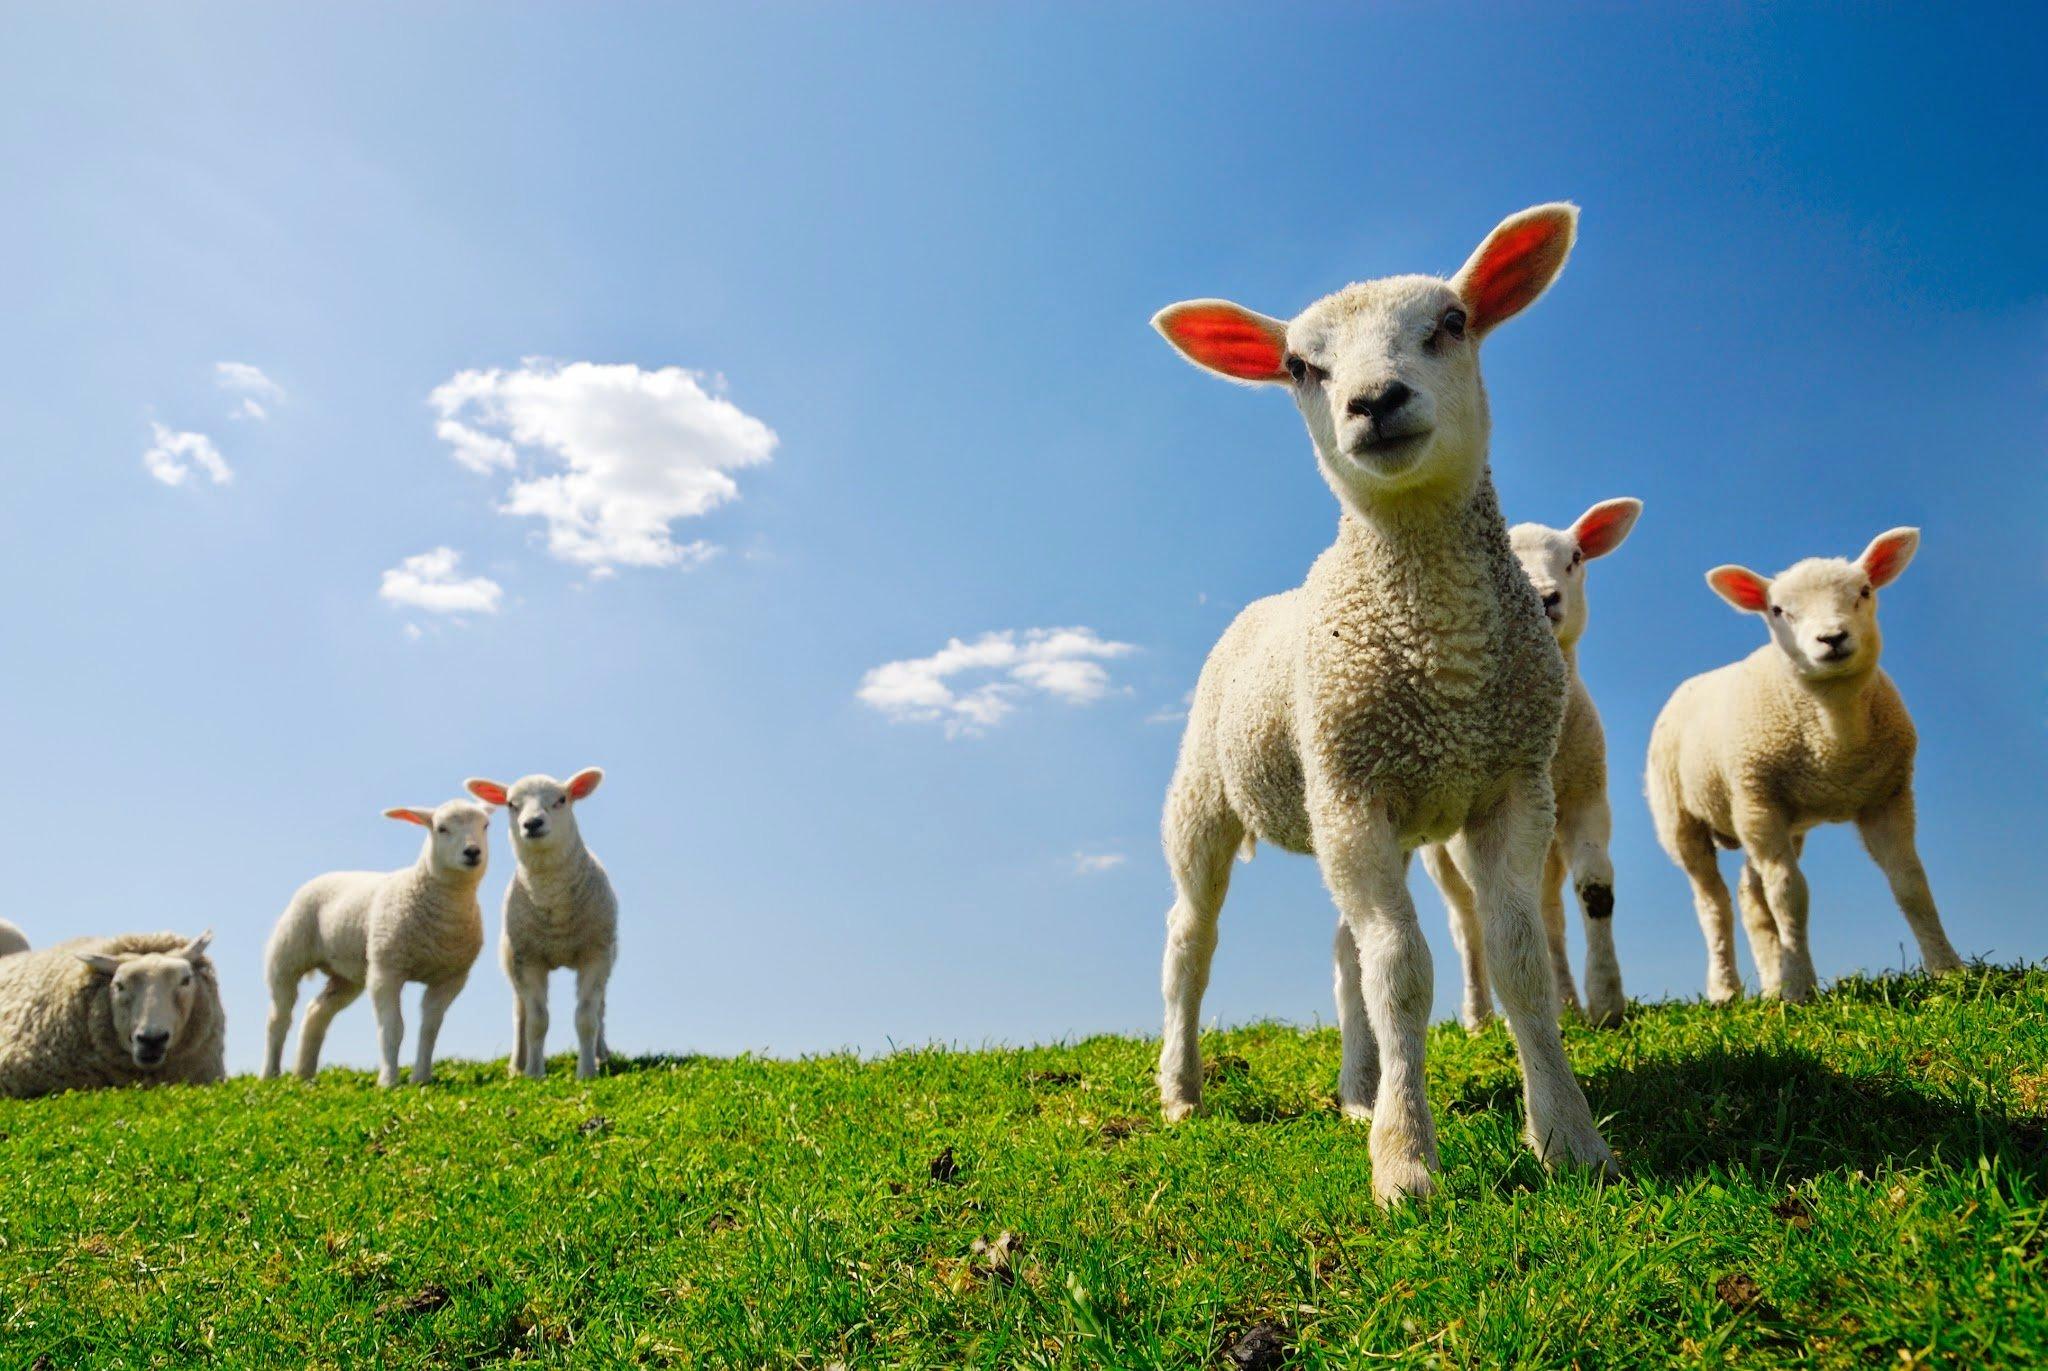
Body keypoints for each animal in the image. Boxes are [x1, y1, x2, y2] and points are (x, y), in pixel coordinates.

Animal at [263, 799, 491, 1087]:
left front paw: (421, 1078)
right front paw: (388, 1081)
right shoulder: (386, 970)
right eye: (442, 828)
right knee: (279, 1017)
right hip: (287, 956)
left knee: (317, 1012)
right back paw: (269, 1074)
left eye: (486, 825)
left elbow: (429, 1029)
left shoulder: (451, 978)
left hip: (347, 975)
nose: (473, 852)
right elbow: (392, 1028)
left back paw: (303, 1074)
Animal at [465, 770, 617, 1080]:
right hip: (511, 960)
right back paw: (517, 1065)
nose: (532, 823)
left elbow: (586, 1016)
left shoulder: (595, 955)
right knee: (520, 1013)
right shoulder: (528, 959)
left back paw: (601, 1055)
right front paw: (535, 1074)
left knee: (601, 1008)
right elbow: (536, 1020)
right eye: (511, 804)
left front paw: (587, 1072)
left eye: (561, 800)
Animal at [1150, 203, 1615, 1202]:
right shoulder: (1355, 793)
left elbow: (1516, 959)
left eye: (1453, 322)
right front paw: (1405, 1163)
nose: (1374, 400)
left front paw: (1568, 1135)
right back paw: (1181, 1088)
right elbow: (1402, 971)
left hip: (1363, 807)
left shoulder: (1510, 784)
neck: (1443, 656)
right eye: (1299, 366)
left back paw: (1358, 1088)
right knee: (1190, 941)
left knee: (1344, 950)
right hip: (1216, 796)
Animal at [1420, 498, 1641, 1031]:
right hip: (1438, 853)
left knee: (1547, 911)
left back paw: (1565, 1001)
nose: (1545, 598)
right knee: (1466, 921)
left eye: (1576, 557)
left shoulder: (1587, 797)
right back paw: (1479, 1016)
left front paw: (1605, 1000)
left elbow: (1595, 888)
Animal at [1648, 527, 1965, 1003]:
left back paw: (1770, 984)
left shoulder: (1888, 797)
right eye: (1778, 610)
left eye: (1864, 591)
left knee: (1750, 896)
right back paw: (1726, 989)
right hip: (1684, 816)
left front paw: (1949, 969)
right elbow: (1789, 895)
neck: (1833, 741)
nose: (1832, 638)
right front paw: (1800, 987)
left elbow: (1910, 882)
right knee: (1713, 902)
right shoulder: (1760, 800)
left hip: (1765, 816)